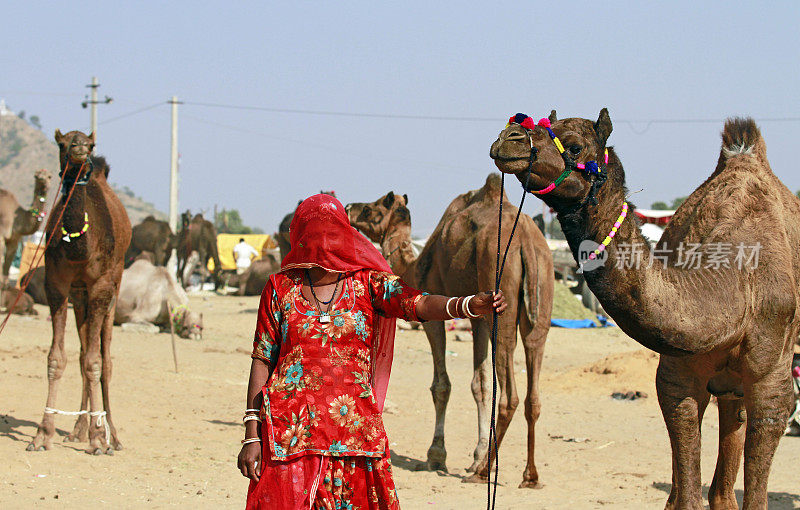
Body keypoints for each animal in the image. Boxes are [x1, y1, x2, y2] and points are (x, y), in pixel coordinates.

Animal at [28, 130, 131, 454]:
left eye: (91, 143)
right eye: (62, 143)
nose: (80, 148)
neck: (79, 247)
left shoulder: (101, 287)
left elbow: (96, 362)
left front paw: (99, 439)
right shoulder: (57, 285)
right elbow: (58, 358)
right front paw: (42, 434)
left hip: (114, 286)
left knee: (105, 358)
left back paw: (112, 435)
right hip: (79, 296)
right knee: (84, 348)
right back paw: (78, 429)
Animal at [346, 177, 552, 488]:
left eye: (371, 209)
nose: (348, 207)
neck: (412, 266)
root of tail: (527, 239)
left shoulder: (433, 313)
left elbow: (441, 385)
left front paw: (436, 455)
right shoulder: (478, 318)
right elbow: (481, 384)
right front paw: (477, 454)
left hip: (501, 287)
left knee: (510, 395)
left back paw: (484, 472)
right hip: (540, 290)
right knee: (534, 382)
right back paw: (530, 475)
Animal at [490, 109, 796, 508]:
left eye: (574, 145)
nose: (508, 138)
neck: (735, 283)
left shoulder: (773, 378)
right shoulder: (676, 375)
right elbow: (685, 494)